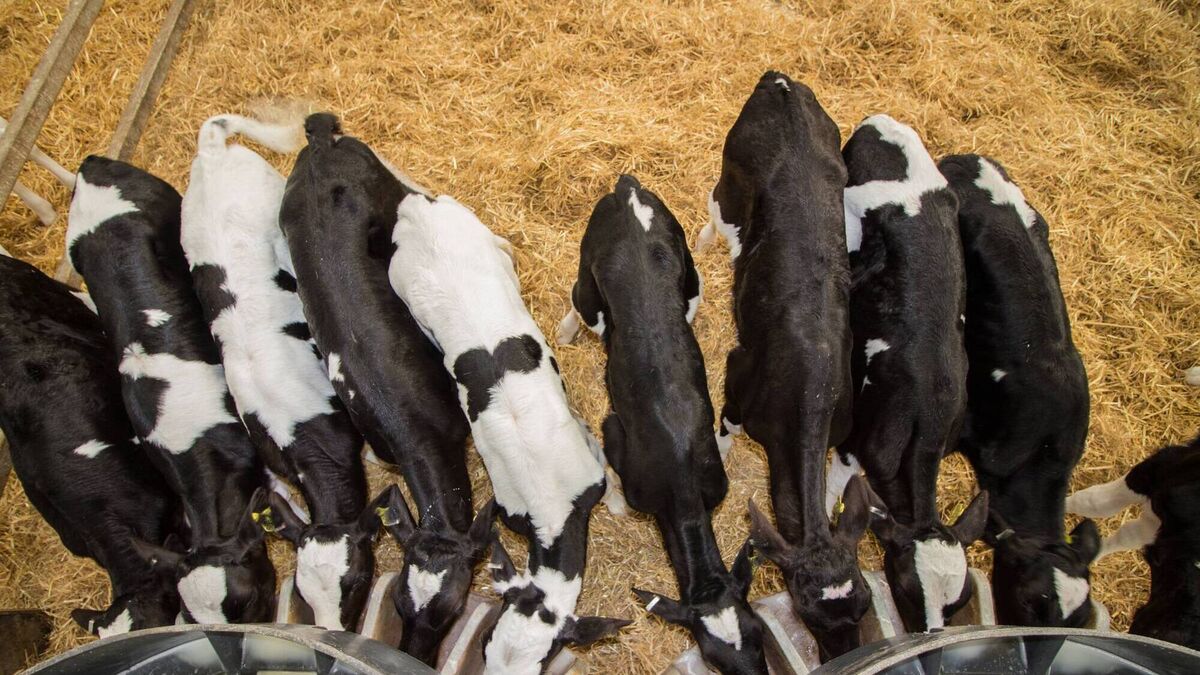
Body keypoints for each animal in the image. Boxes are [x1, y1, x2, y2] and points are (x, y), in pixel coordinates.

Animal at [279, 113, 492, 663]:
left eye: (454, 607)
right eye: (397, 599)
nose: (415, 654)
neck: (414, 429)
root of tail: (319, 144)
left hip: (385, 187)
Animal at [387, 174, 630, 674]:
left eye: (542, 663)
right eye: (484, 644)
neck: (551, 504)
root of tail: (416, 208)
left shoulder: (587, 458)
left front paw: (618, 503)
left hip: (482, 237)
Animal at [557, 175, 765, 674]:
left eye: (759, 634)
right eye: (713, 658)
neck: (683, 487)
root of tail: (627, 187)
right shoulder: (615, 435)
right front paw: (612, 504)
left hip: (690, 277)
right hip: (589, 277)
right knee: (577, 300)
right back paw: (564, 333)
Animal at [693, 71, 873, 662]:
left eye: (865, 601)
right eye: (803, 607)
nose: (845, 654)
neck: (807, 398)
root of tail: (782, 83)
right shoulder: (737, 376)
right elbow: (723, 431)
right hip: (730, 178)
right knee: (715, 211)